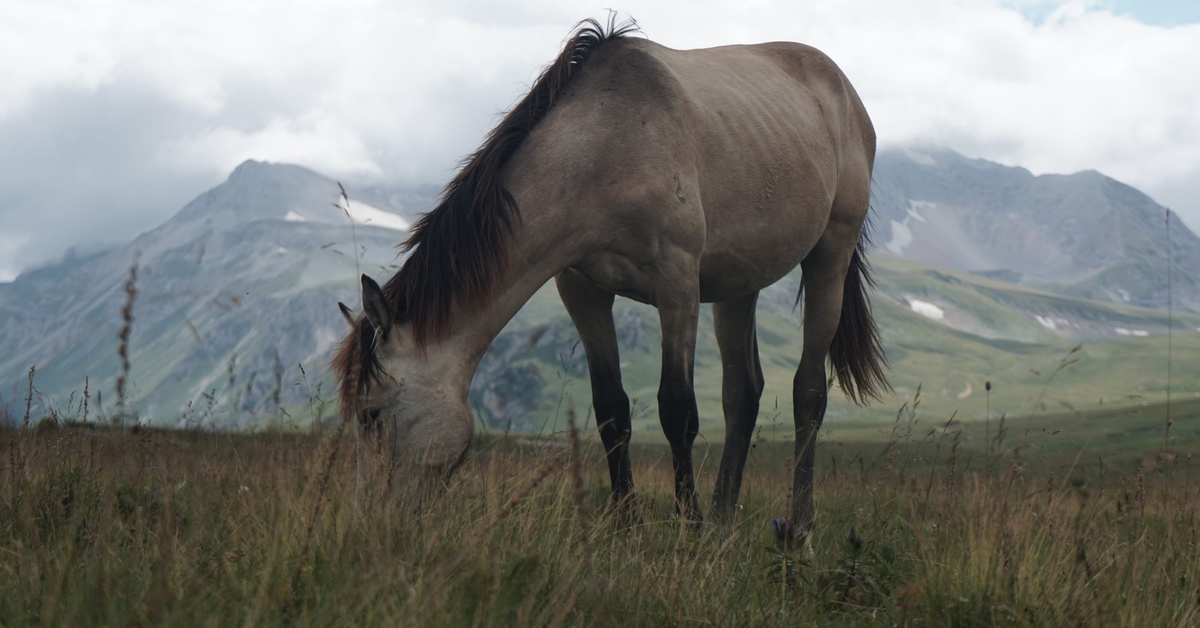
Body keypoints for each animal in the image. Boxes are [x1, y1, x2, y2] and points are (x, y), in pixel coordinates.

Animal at [333, 18, 888, 545]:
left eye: (371, 415)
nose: (367, 522)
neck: (607, 149)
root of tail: (843, 89)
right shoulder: (582, 290)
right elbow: (611, 409)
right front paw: (629, 528)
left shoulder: (677, 283)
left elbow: (677, 409)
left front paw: (685, 530)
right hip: (739, 283)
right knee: (742, 394)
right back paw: (721, 527)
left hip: (829, 256)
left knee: (808, 392)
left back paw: (798, 530)